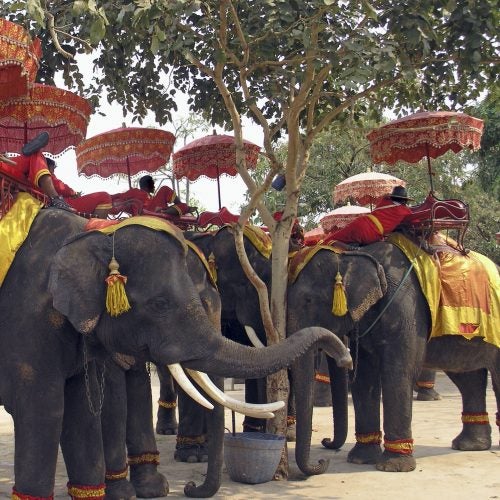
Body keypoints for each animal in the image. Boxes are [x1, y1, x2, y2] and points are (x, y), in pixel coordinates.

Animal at [0, 207, 352, 496]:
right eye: (160, 304)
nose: (345, 357)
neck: (92, 234)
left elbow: (84, 409)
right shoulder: (28, 317)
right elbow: (45, 407)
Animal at [288, 242, 498, 476]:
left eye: (308, 301)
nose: (326, 445)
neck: (354, 253)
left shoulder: (406, 308)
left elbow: (398, 372)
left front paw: (392, 467)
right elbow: (364, 378)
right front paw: (360, 460)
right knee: (467, 376)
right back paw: (470, 445)